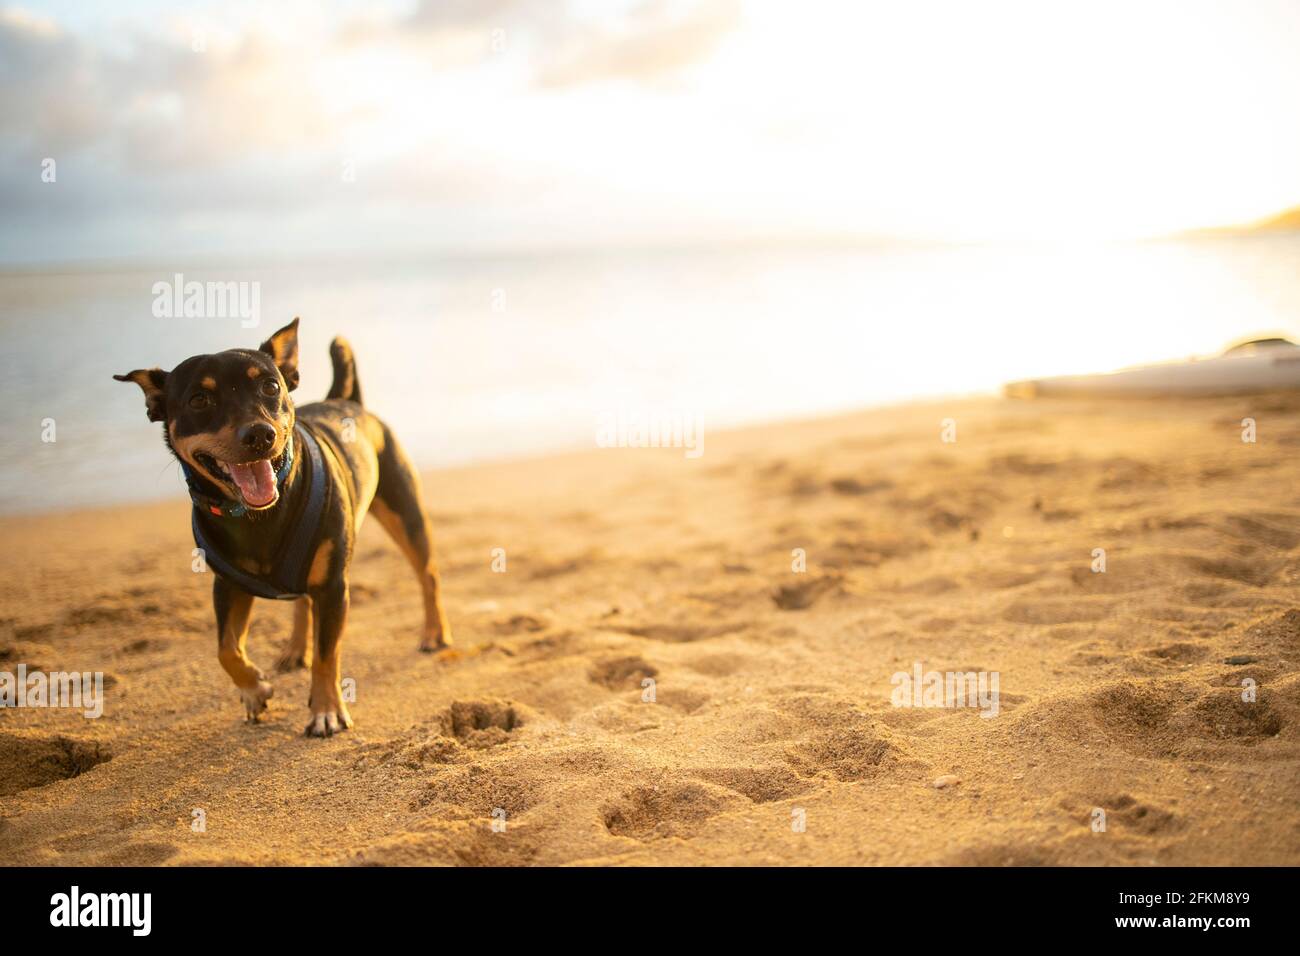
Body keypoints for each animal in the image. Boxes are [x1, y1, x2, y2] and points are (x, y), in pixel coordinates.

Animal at [116, 317, 452, 738]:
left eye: (271, 387)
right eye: (198, 400)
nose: (260, 434)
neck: (258, 515)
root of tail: (348, 401)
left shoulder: (333, 586)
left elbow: (327, 655)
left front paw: (326, 712)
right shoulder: (227, 585)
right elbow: (225, 648)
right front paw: (255, 690)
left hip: (403, 509)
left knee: (428, 573)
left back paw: (434, 633)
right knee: (300, 601)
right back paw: (294, 651)